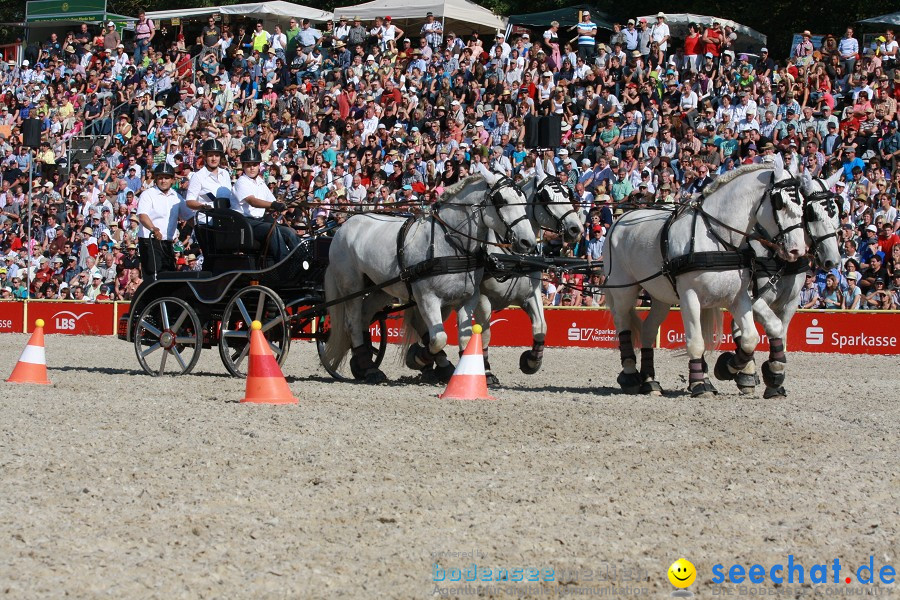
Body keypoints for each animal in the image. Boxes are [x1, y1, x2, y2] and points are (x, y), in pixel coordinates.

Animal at [324, 164, 536, 382]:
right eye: (502, 200)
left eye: (523, 198)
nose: (528, 242)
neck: (450, 244)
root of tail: (343, 227)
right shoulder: (427, 297)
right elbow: (439, 338)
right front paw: (418, 358)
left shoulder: (468, 297)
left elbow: (464, 338)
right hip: (351, 287)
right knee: (353, 323)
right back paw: (368, 367)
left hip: (380, 288)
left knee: (365, 316)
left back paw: (362, 365)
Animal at [472, 159, 584, 384]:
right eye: (546, 197)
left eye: (568, 193)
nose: (576, 229)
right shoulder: (482, 299)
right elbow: (484, 332)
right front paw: (485, 371)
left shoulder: (531, 295)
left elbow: (541, 327)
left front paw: (531, 361)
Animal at [600, 162, 804, 396]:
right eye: (781, 203)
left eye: (802, 204)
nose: (797, 250)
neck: (718, 236)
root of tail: (620, 219)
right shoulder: (690, 296)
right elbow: (696, 342)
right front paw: (700, 384)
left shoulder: (739, 297)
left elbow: (750, 338)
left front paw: (729, 368)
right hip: (623, 289)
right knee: (622, 322)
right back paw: (630, 375)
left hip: (660, 296)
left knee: (648, 329)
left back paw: (650, 381)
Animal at [712, 168, 848, 398]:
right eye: (810, 213)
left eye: (835, 212)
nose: (833, 260)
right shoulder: (752, 298)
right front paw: (743, 372)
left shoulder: (790, 303)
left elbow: (780, 336)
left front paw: (774, 378)